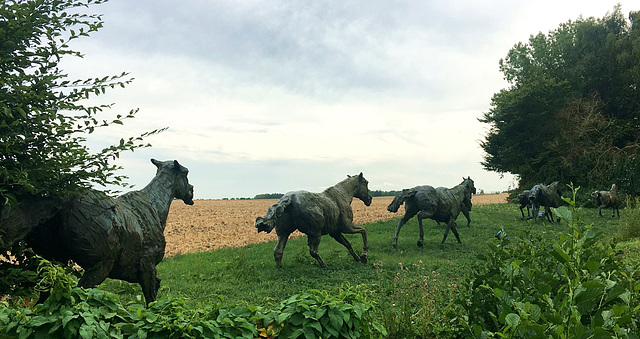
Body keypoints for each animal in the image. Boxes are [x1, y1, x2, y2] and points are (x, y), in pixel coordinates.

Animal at [25, 159, 195, 306]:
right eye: (186, 173)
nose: (192, 191)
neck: (155, 206)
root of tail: (63, 204)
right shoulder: (147, 266)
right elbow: (151, 299)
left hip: (51, 264)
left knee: (43, 298)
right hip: (99, 266)